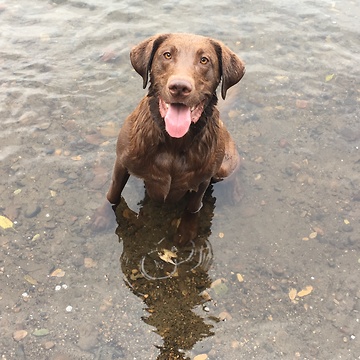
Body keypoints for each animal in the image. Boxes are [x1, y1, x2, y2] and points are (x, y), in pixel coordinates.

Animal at [93, 33, 245, 245]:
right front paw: (103, 215)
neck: (173, 142)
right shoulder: (122, 162)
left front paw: (186, 232)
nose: (179, 87)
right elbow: (113, 192)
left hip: (225, 164)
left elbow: (193, 208)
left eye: (204, 60)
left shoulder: (203, 179)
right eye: (167, 55)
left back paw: (235, 191)